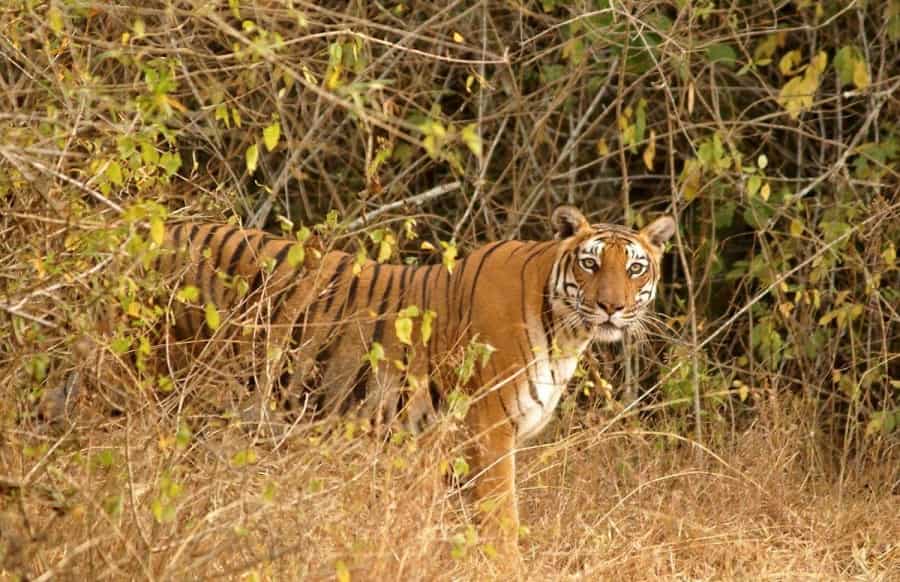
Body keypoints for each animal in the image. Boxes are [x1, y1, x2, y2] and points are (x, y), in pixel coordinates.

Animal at [93, 205, 676, 556]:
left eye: (636, 268)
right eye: (590, 264)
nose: (611, 307)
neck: (566, 331)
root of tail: (139, 234)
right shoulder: (489, 432)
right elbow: (501, 520)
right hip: (146, 386)